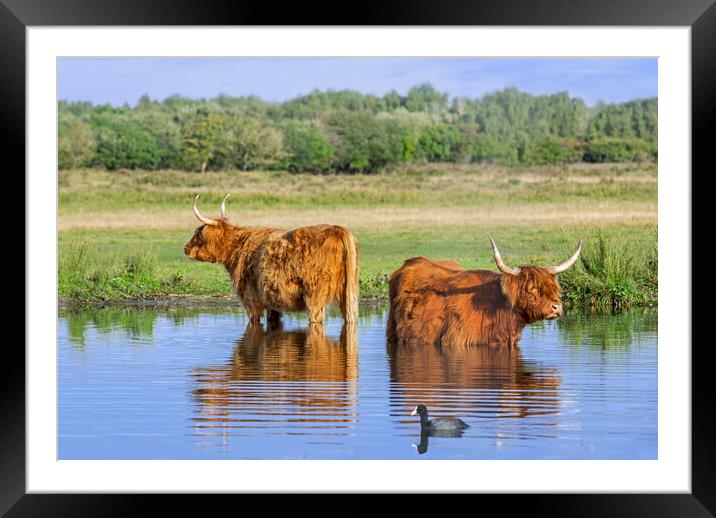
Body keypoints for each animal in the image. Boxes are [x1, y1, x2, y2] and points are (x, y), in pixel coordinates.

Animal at [185, 195, 358, 324]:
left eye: (197, 234)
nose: (185, 248)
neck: (237, 248)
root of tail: (337, 230)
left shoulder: (251, 299)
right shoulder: (272, 302)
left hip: (314, 295)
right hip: (349, 295)